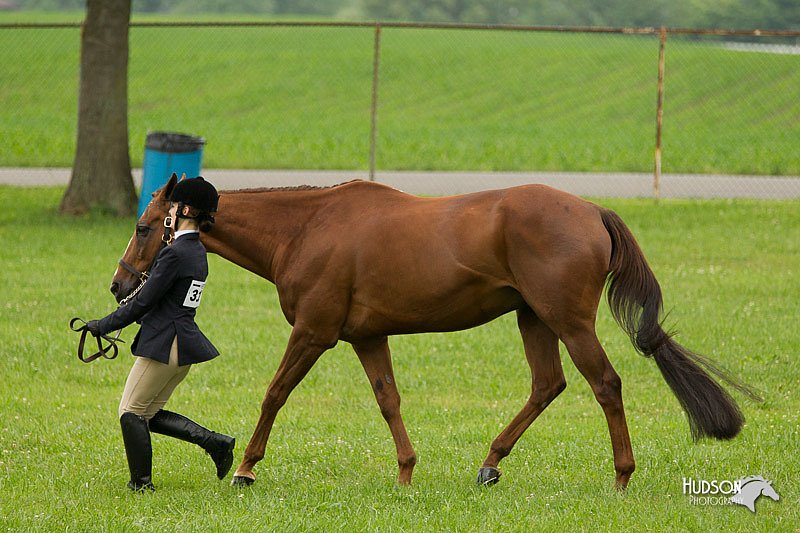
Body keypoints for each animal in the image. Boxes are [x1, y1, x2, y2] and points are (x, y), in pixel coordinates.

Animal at [109, 174, 752, 486]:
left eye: (143, 227)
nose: (120, 287)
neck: (308, 228)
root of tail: (591, 210)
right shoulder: (367, 338)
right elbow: (388, 400)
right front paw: (406, 471)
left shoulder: (314, 333)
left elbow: (275, 393)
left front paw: (244, 468)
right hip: (533, 319)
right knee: (548, 385)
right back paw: (491, 463)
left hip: (567, 321)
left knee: (605, 385)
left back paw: (621, 476)